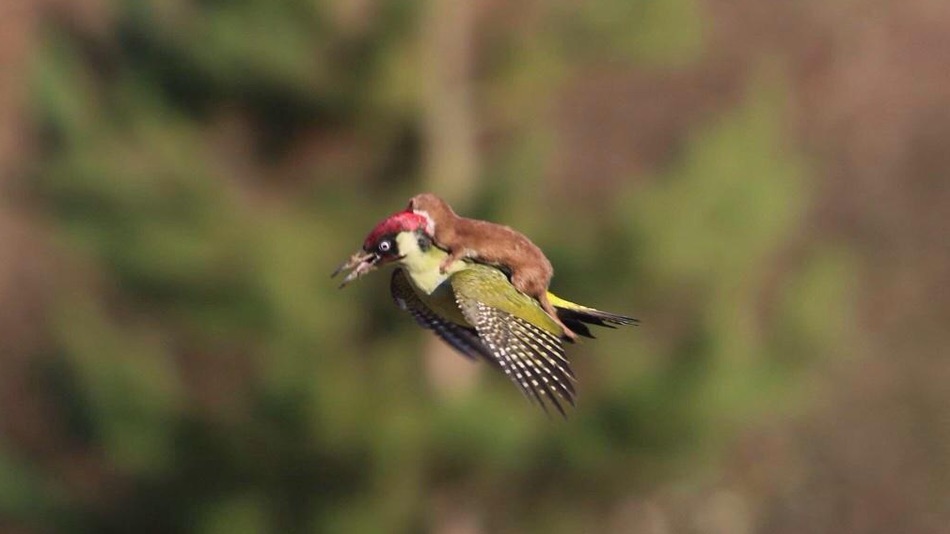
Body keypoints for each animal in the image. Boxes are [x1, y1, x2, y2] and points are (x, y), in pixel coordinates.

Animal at [410, 195, 580, 342]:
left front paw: (445, 264)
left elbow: (458, 252)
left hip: (524, 274)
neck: (445, 225)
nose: (407, 206)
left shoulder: (458, 241)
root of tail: (545, 282)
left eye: (410, 205)